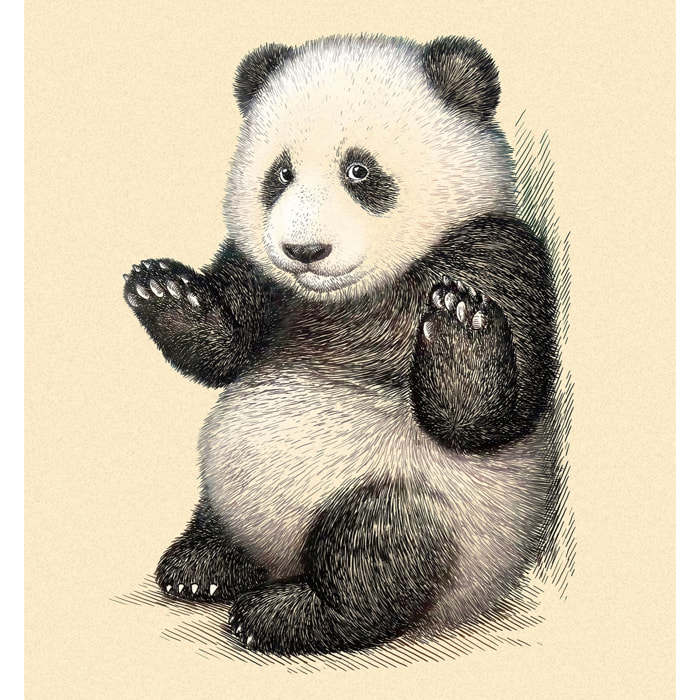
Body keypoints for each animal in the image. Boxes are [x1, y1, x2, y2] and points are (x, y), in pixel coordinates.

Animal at [123, 34, 559, 656]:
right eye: (280, 174)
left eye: (359, 170)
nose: (304, 251)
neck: (350, 297)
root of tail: (282, 558)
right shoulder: (269, 280)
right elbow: (225, 349)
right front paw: (164, 290)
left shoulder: (493, 251)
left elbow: (493, 417)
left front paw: (461, 327)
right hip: (226, 484)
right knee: (222, 514)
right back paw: (204, 564)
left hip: (432, 499)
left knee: (378, 548)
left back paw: (285, 613)